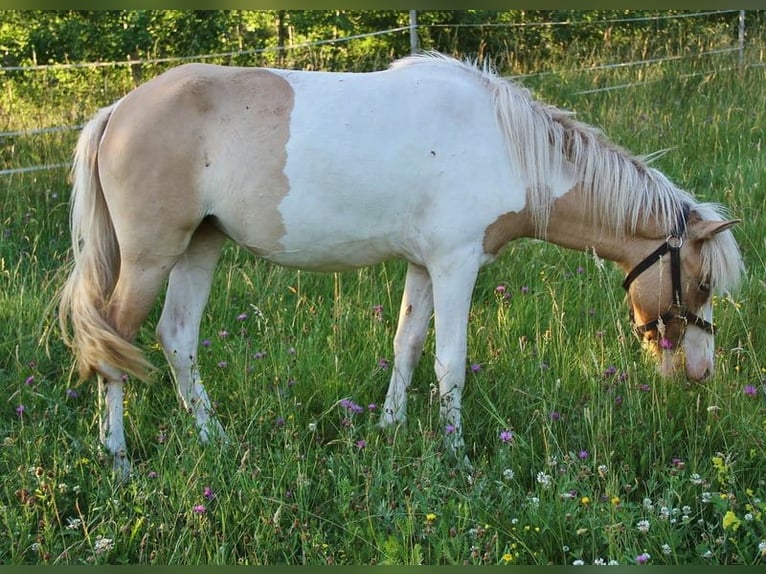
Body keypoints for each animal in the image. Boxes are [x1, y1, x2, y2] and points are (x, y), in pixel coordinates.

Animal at [58, 52, 743, 475]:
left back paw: (214, 440)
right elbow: (449, 363)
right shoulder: (457, 264)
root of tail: (117, 112)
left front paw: (389, 429)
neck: (509, 147)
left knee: (177, 338)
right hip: (149, 258)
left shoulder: (423, 266)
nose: (701, 372)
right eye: (703, 281)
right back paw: (118, 460)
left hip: (199, 247)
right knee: (115, 342)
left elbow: (407, 345)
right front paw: (457, 457)